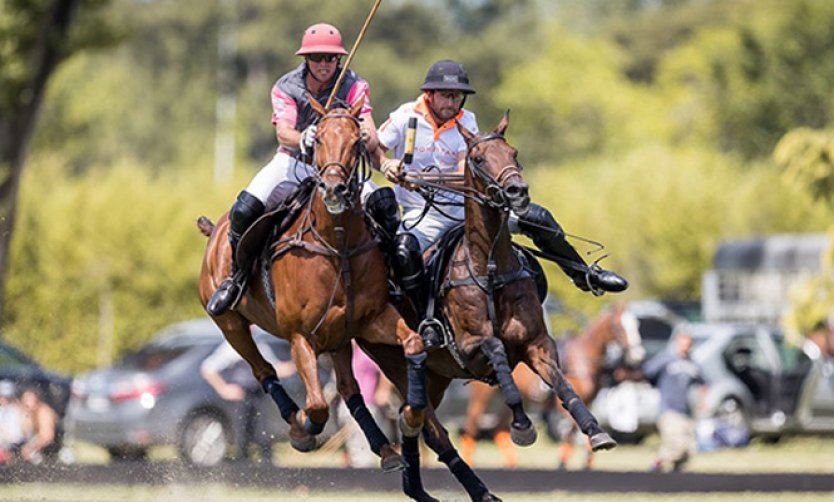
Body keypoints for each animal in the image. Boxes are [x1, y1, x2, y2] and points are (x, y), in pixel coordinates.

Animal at [198, 97, 426, 470]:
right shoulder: (300, 335)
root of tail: (214, 230)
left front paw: (412, 415)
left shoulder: (370, 319)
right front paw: (304, 429)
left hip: (338, 340)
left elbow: (414, 341)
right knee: (263, 370)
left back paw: (387, 450)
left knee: (349, 391)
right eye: (317, 139)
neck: (337, 245)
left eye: (357, 141)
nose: (333, 189)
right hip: (230, 323)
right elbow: (317, 406)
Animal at [358, 113, 616, 502]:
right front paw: (522, 424)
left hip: (436, 376)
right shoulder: (468, 346)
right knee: (429, 426)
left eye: (514, 152)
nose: (517, 192)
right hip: (397, 363)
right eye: (478, 159)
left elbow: (562, 383)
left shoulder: (537, 342)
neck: (490, 267)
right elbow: (495, 348)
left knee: (410, 416)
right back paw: (459, 489)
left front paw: (596, 431)